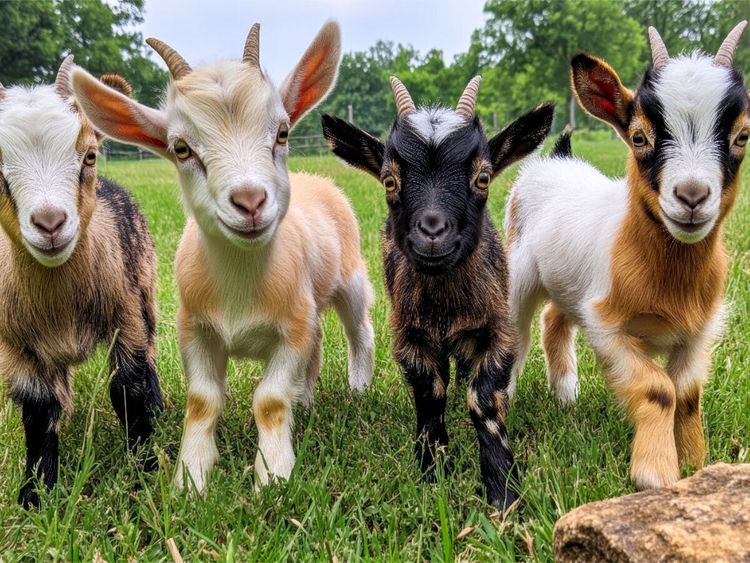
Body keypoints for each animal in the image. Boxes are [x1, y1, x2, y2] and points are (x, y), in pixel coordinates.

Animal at [0, 57, 163, 508]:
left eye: (89, 155)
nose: (51, 223)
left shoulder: (127, 317)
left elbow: (128, 388)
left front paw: (145, 470)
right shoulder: (14, 345)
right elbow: (38, 410)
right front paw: (36, 494)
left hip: (146, 292)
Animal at [71, 21, 375, 493]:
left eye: (282, 132)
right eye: (181, 148)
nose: (250, 201)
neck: (241, 287)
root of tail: (316, 179)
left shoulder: (291, 329)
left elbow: (269, 400)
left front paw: (274, 476)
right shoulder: (194, 329)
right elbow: (202, 401)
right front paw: (191, 478)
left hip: (351, 278)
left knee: (360, 330)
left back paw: (358, 387)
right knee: (319, 343)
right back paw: (305, 400)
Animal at [321, 77, 554, 509]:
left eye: (483, 177)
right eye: (389, 180)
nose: (432, 231)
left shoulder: (498, 330)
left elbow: (483, 399)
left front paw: (502, 490)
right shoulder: (408, 336)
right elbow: (431, 395)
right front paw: (433, 471)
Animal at [506, 22, 749, 490]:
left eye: (742, 137)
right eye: (639, 137)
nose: (692, 197)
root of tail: (559, 157)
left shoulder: (698, 330)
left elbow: (686, 394)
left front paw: (694, 463)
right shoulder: (608, 326)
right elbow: (659, 390)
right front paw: (655, 473)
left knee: (554, 320)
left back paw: (566, 395)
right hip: (518, 274)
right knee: (517, 335)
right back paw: (501, 399)